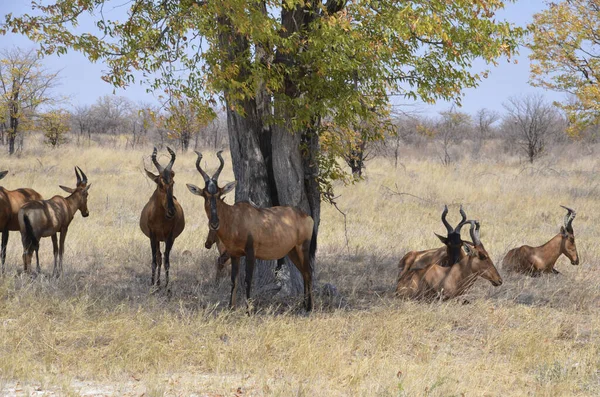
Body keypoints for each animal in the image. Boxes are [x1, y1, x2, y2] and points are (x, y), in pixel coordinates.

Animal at [141, 147, 185, 286]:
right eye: (160, 183)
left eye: (173, 182)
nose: (171, 211)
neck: (160, 218)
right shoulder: (152, 236)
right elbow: (154, 260)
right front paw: (152, 284)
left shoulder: (170, 237)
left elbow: (167, 261)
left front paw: (167, 288)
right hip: (157, 239)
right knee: (159, 256)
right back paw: (158, 283)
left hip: (166, 239)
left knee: (163, 257)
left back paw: (161, 284)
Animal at [188, 151, 318, 310]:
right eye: (205, 195)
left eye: (218, 194)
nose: (214, 223)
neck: (236, 216)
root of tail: (307, 216)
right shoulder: (234, 254)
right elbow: (234, 280)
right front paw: (230, 308)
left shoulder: (251, 252)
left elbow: (248, 280)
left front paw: (248, 311)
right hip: (292, 251)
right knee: (304, 272)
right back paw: (304, 305)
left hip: (302, 248)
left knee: (309, 272)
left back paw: (309, 307)